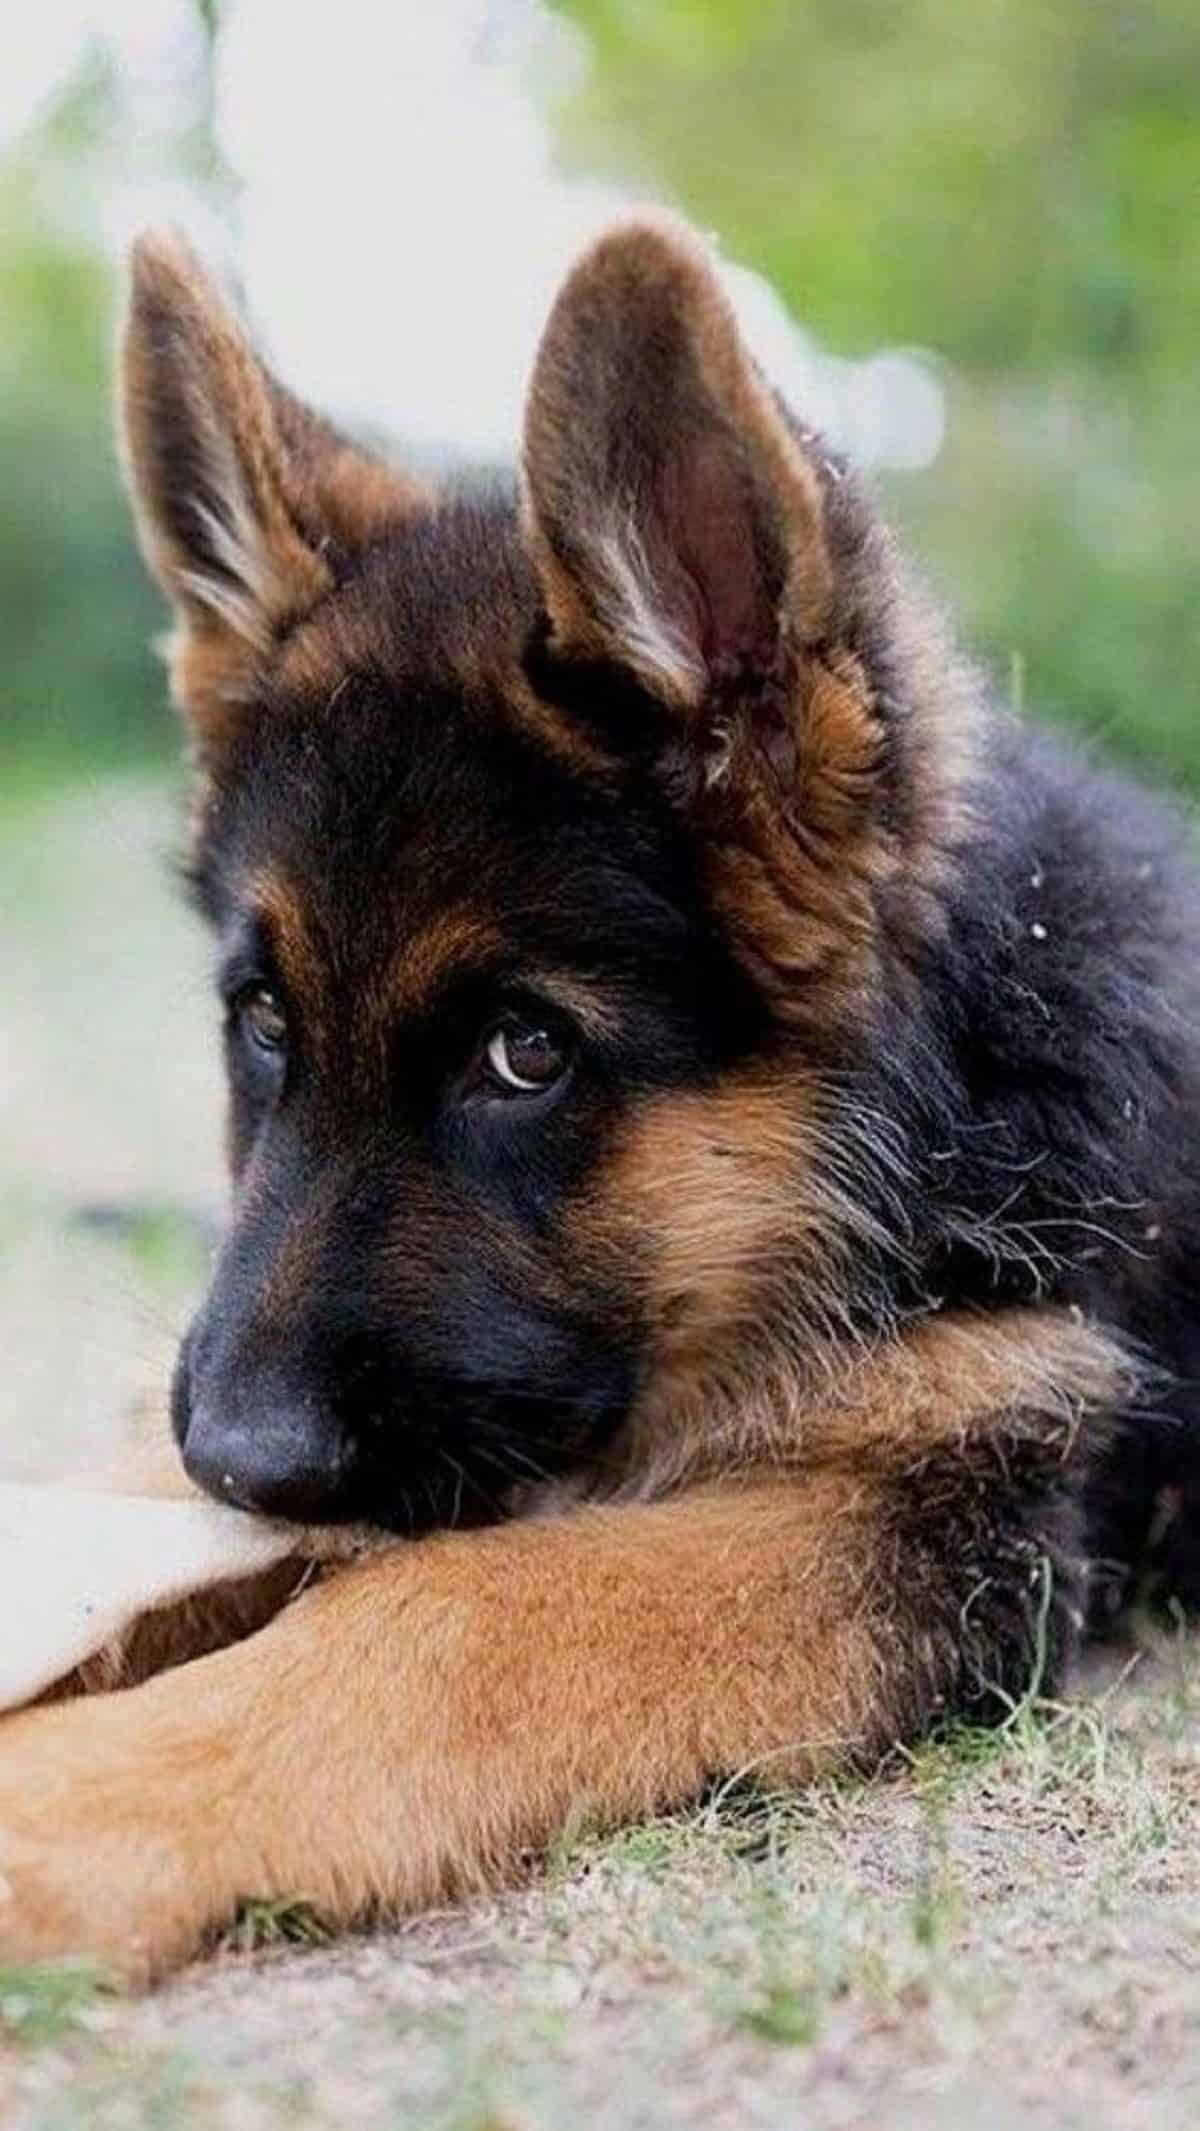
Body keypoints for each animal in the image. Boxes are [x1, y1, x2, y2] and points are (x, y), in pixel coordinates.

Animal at [2, 207, 1200, 1969]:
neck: (944, 1110)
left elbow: (453, 1612)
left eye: (526, 1053)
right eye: (265, 1021)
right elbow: (137, 1503)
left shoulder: (951, 1497)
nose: (241, 1454)